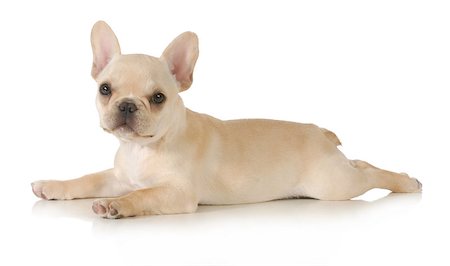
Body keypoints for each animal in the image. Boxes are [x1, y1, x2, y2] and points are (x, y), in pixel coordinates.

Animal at [31, 21, 422, 218]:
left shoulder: (176, 193)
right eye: (105, 90)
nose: (127, 105)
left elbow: (143, 196)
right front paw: (52, 185)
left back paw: (406, 181)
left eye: (158, 98)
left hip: (333, 185)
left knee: (368, 174)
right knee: (361, 162)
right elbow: (87, 179)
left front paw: (118, 206)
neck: (142, 149)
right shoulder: (118, 177)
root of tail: (320, 134)